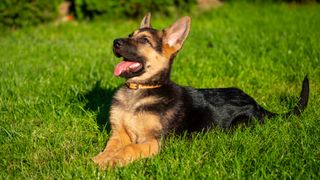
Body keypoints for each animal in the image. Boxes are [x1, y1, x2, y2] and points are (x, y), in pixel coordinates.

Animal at [93, 13, 310, 168]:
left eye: (144, 40)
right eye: (130, 36)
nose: (115, 42)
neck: (139, 90)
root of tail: (257, 104)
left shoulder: (155, 141)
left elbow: (129, 148)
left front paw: (111, 161)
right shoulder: (118, 133)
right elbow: (111, 146)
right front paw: (101, 158)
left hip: (241, 125)